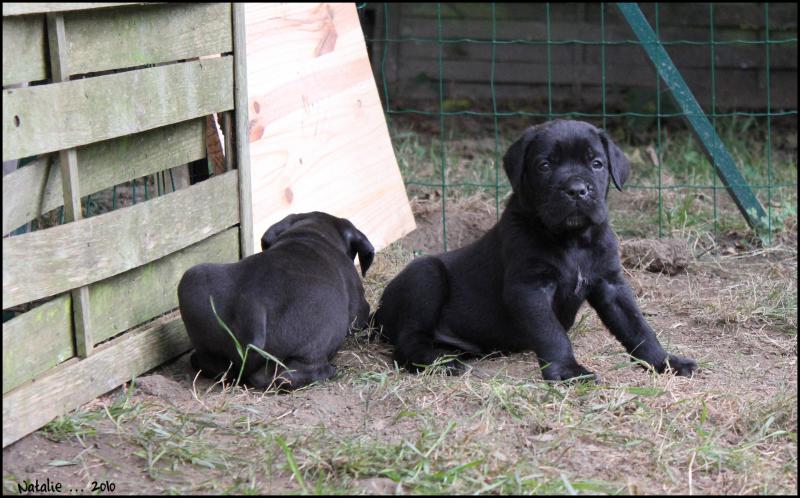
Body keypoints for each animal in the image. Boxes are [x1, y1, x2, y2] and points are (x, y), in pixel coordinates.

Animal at [178, 210, 376, 390]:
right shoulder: (360, 309)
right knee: (286, 376)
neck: (313, 233)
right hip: (316, 338)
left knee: (213, 364)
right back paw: (329, 371)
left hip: (192, 278)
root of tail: (251, 305)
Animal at [374, 120, 692, 382]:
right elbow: (552, 334)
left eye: (597, 163)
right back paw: (439, 363)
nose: (577, 190)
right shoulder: (530, 288)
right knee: (408, 340)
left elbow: (637, 327)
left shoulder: (611, 284)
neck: (573, 240)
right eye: (545, 166)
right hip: (425, 274)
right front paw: (568, 371)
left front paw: (664, 361)